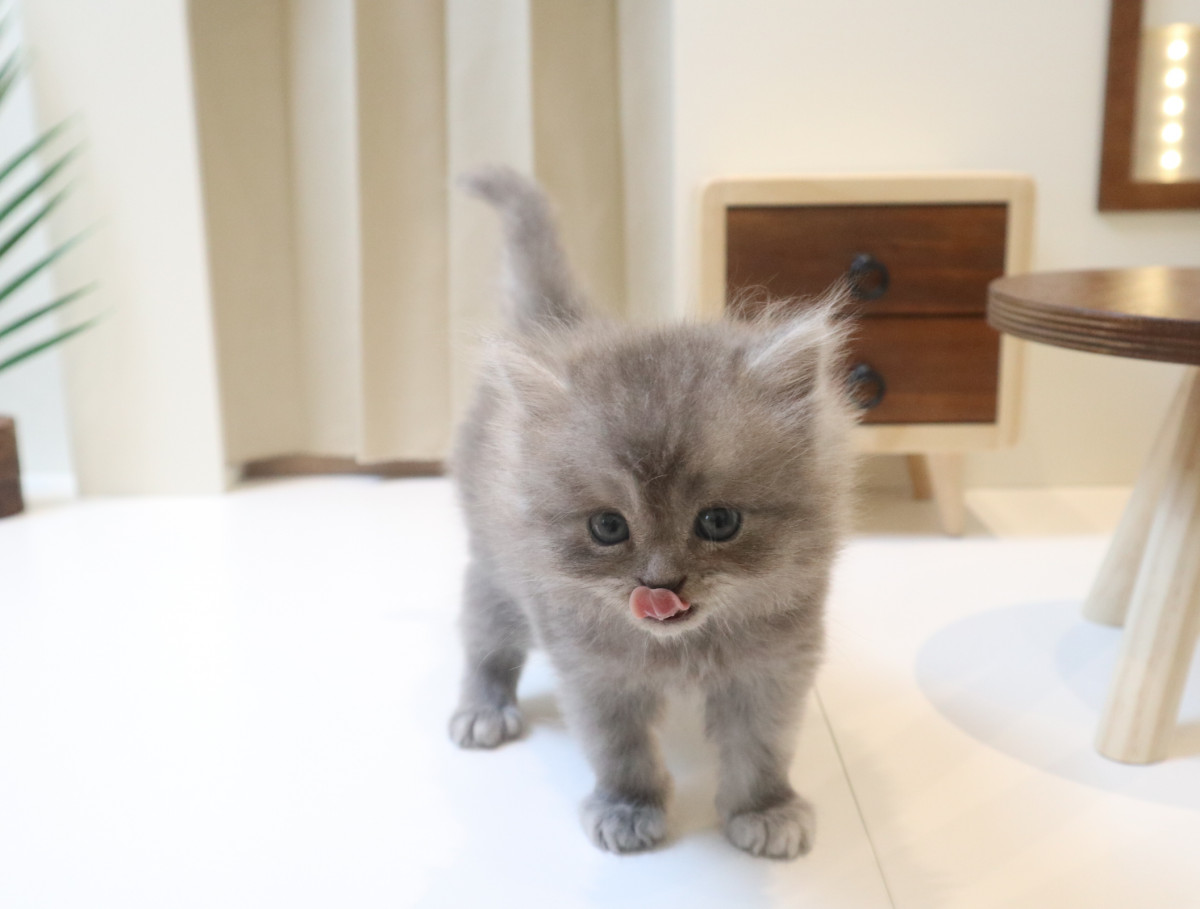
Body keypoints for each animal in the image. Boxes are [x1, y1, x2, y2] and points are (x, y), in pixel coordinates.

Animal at [447, 166, 855, 860]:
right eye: (608, 527)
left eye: (718, 522)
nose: (660, 583)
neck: (683, 649)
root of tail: (557, 323)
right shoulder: (594, 669)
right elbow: (620, 749)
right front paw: (627, 808)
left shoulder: (773, 666)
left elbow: (761, 747)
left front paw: (766, 809)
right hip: (495, 573)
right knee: (485, 639)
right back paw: (483, 708)